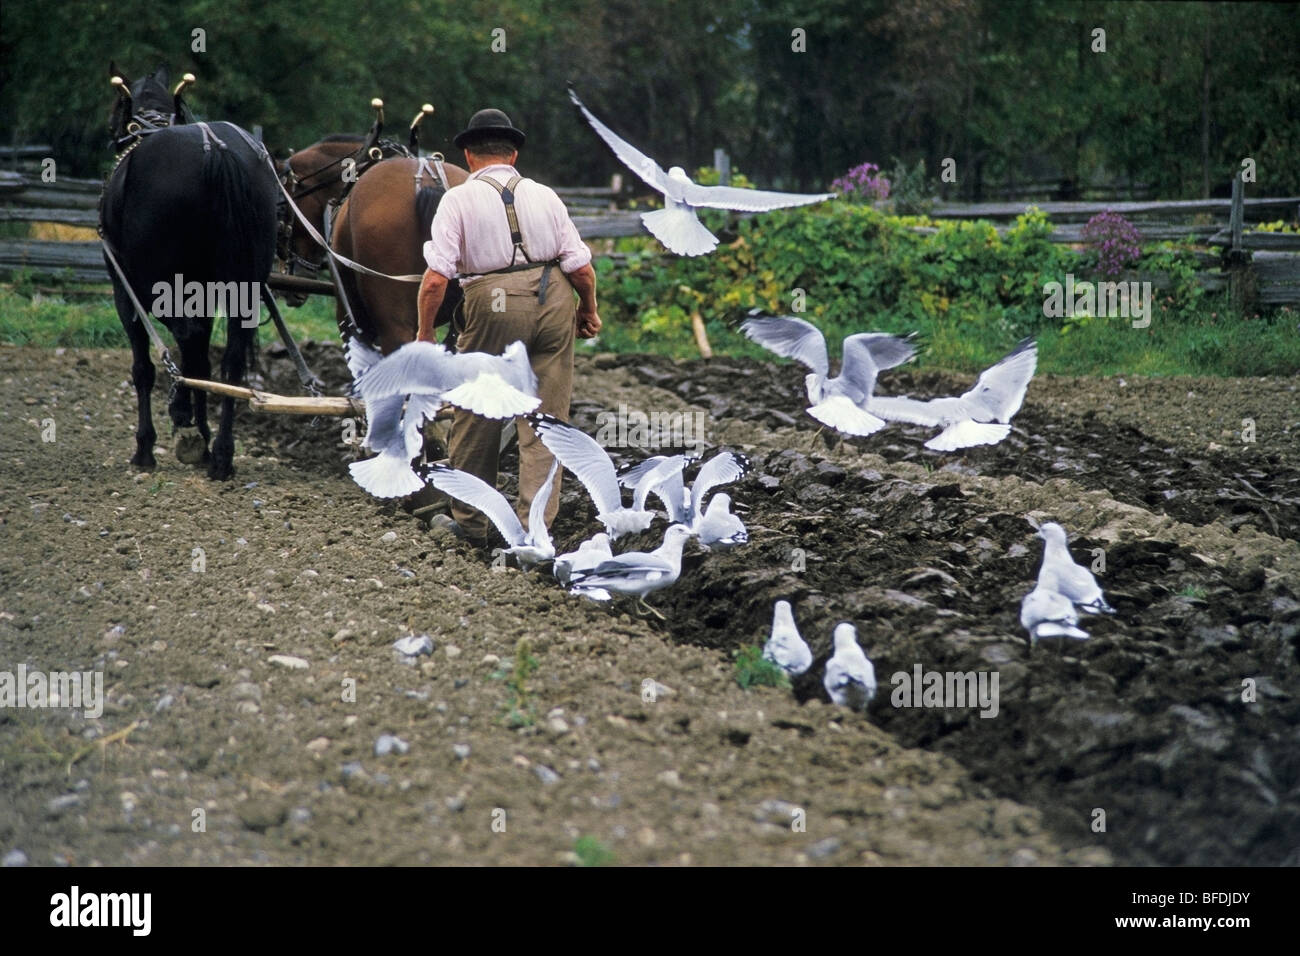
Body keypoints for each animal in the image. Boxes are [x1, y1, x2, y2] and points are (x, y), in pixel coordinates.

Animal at [102, 65, 280, 478]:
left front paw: (148, 445)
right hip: (241, 285)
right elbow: (205, 355)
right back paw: (222, 454)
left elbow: (144, 367)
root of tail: (217, 150)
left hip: (159, 284)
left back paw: (187, 427)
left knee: (185, 340)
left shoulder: (125, 290)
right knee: (229, 361)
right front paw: (201, 432)